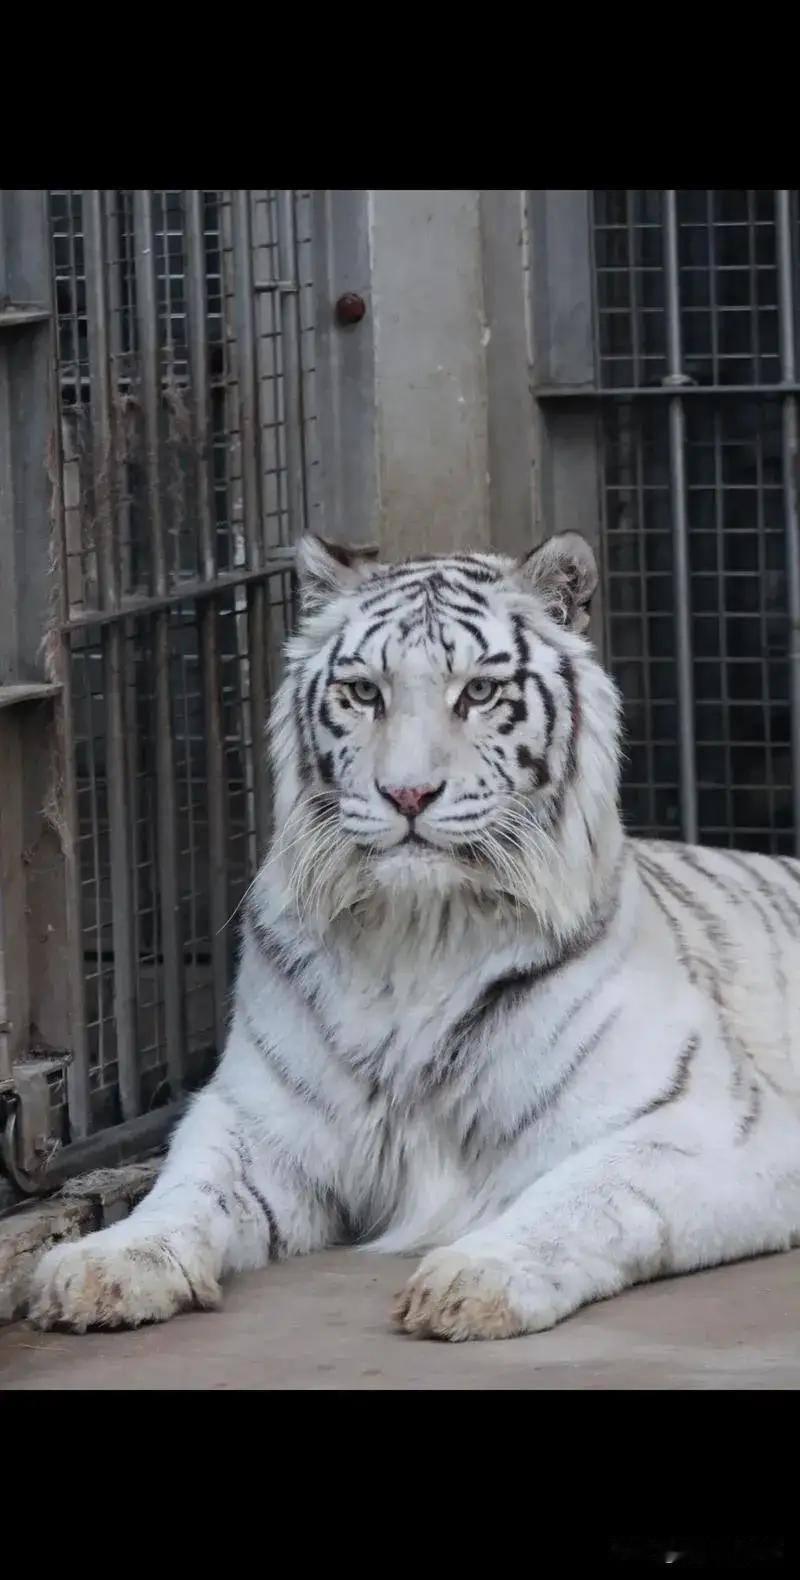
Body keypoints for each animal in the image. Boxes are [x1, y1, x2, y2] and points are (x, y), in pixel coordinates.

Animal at [29, 531, 800, 1341]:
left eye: (481, 692)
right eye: (365, 692)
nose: (406, 794)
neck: (421, 935)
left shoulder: (711, 1126)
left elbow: (587, 1193)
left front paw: (477, 1276)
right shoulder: (256, 1116)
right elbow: (187, 1186)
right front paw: (109, 1261)